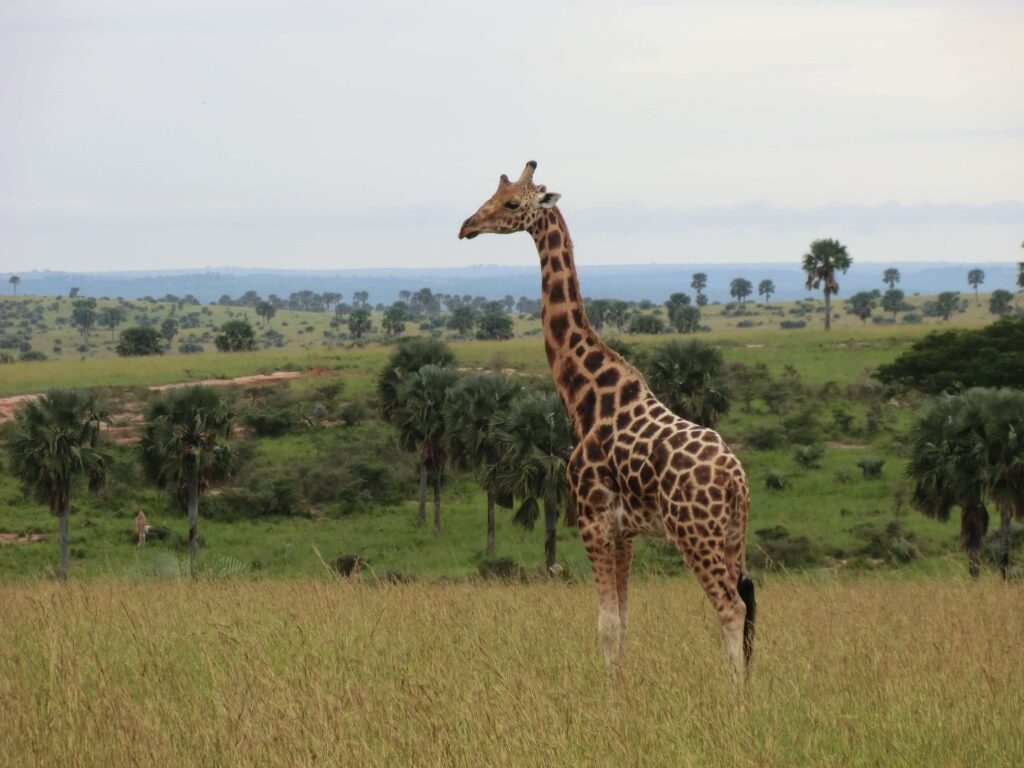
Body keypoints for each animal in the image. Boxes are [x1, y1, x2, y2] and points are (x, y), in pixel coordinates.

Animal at [460, 160, 757, 679]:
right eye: (490, 196)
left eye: (512, 203)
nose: (467, 226)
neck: (585, 397)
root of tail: (734, 480)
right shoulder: (626, 529)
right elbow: (623, 618)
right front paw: (621, 685)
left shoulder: (593, 516)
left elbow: (606, 623)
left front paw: (609, 691)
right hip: (731, 534)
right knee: (742, 603)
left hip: (694, 532)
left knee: (730, 607)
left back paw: (735, 694)